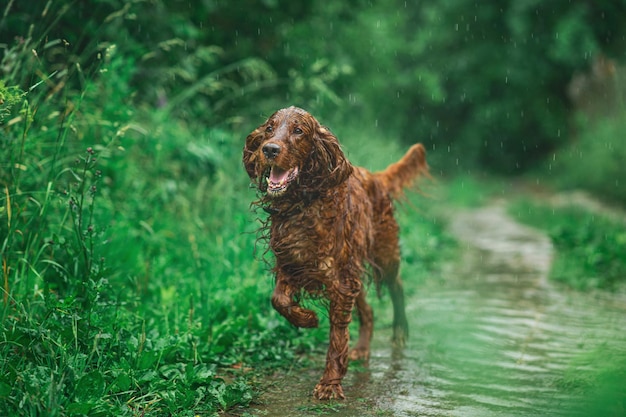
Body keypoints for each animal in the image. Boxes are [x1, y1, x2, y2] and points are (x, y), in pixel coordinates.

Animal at [241, 105, 426, 398]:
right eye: (269, 128)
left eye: (298, 131)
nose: (269, 149)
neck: (303, 204)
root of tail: (376, 178)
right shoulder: (291, 265)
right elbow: (279, 300)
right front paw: (307, 318)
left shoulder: (340, 282)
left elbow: (337, 336)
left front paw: (329, 383)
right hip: (354, 269)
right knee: (369, 311)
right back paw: (361, 348)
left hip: (383, 254)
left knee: (396, 285)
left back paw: (399, 330)